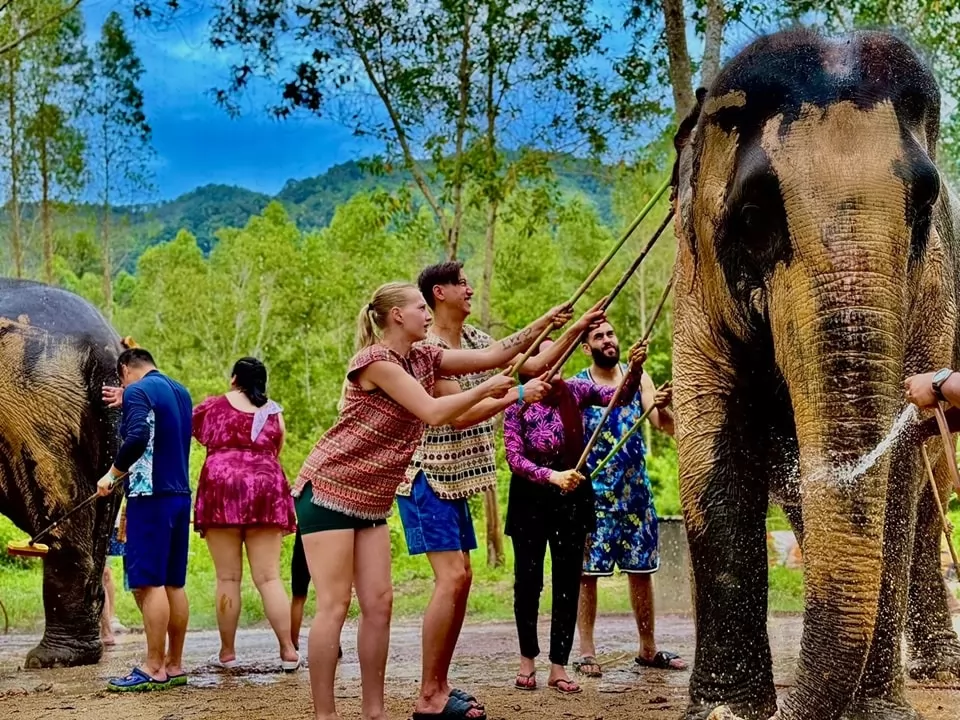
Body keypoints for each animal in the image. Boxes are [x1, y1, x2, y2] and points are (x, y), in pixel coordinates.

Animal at [670, 27, 960, 720]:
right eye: (752, 216)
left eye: (925, 202)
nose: (783, 709)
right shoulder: (694, 287)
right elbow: (710, 450)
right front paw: (723, 709)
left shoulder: (933, 296)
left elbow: (900, 479)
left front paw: (877, 713)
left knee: (929, 497)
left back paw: (939, 670)